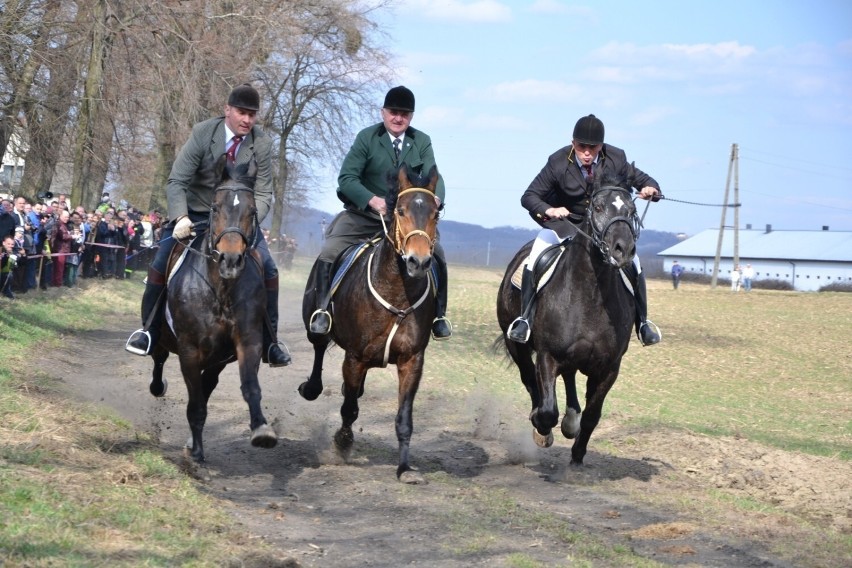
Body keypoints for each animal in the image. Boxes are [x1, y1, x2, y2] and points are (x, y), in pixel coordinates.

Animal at [148, 154, 276, 462]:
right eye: (215, 208)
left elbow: (250, 387)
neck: (221, 290)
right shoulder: (189, 351)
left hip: (217, 360)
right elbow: (195, 404)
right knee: (159, 359)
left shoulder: (246, 343)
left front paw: (261, 430)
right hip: (164, 339)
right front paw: (195, 453)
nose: (231, 260)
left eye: (252, 210)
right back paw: (158, 386)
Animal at [300, 164, 442, 484]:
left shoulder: (412, 361)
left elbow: (404, 419)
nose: (418, 262)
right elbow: (349, 409)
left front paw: (405, 469)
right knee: (318, 349)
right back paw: (312, 387)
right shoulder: (355, 357)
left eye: (436, 212)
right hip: (315, 324)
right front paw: (342, 443)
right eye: (400, 210)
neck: (397, 291)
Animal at [492, 178, 640, 466]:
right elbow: (548, 409)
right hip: (516, 344)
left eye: (631, 210)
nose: (623, 249)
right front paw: (541, 429)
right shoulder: (548, 356)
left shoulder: (609, 368)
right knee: (529, 378)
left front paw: (577, 456)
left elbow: (592, 415)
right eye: (597, 206)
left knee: (570, 378)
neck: (591, 293)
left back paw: (571, 421)